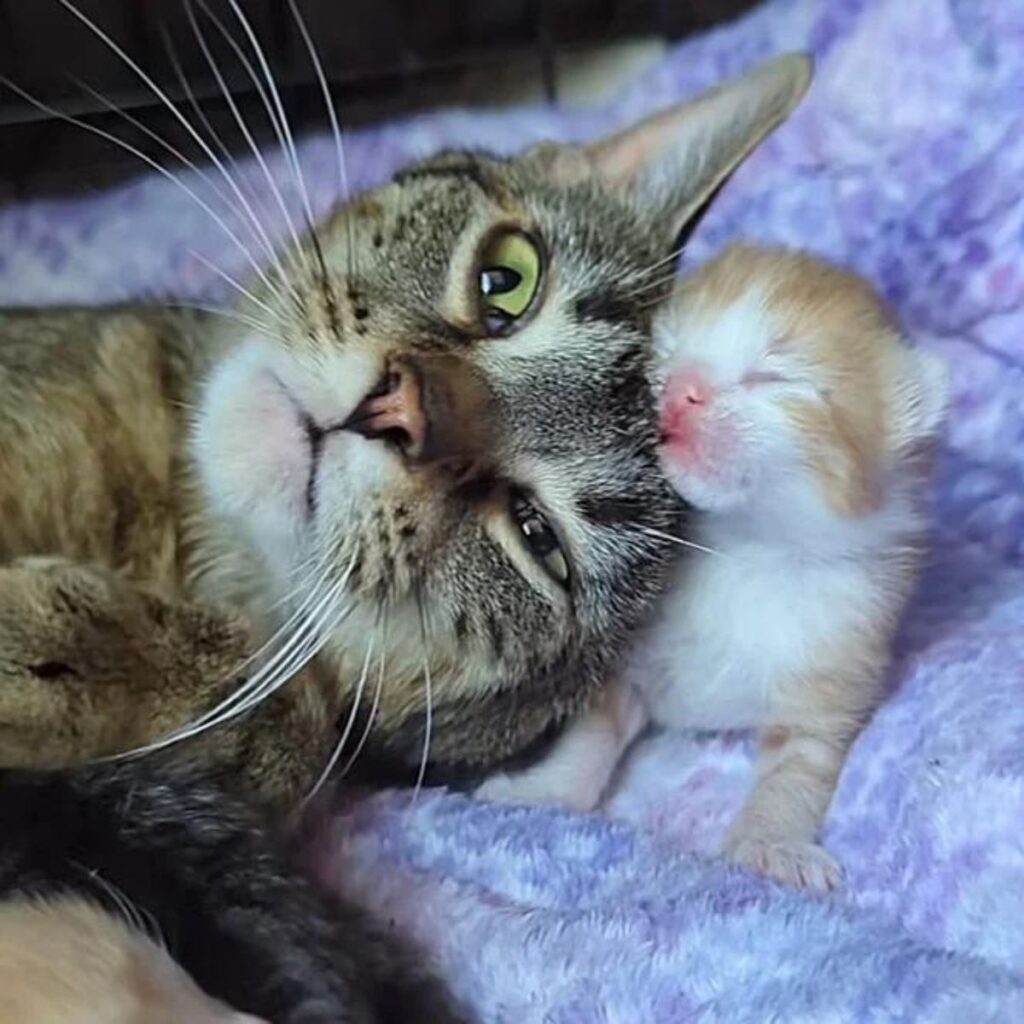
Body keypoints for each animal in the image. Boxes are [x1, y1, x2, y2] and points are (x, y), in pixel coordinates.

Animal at [475, 243, 946, 892]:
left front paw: (773, 843)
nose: (681, 386)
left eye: (775, 377)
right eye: (665, 348)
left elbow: (798, 772)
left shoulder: (835, 673)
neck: (742, 544)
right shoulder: (622, 659)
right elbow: (590, 737)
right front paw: (543, 792)